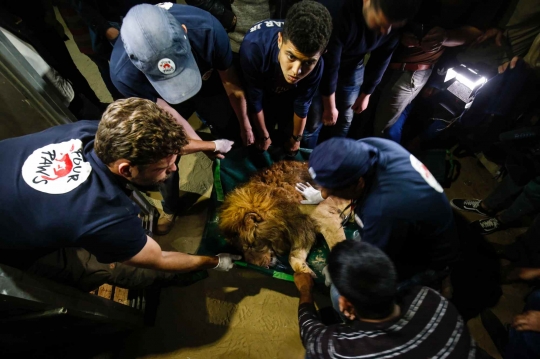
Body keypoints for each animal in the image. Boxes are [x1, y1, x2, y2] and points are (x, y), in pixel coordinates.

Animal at [218, 162, 348, 278]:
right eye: (241, 249)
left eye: (251, 245)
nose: (259, 267)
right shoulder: (302, 229)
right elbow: (293, 258)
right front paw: (305, 271)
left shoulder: (327, 219)